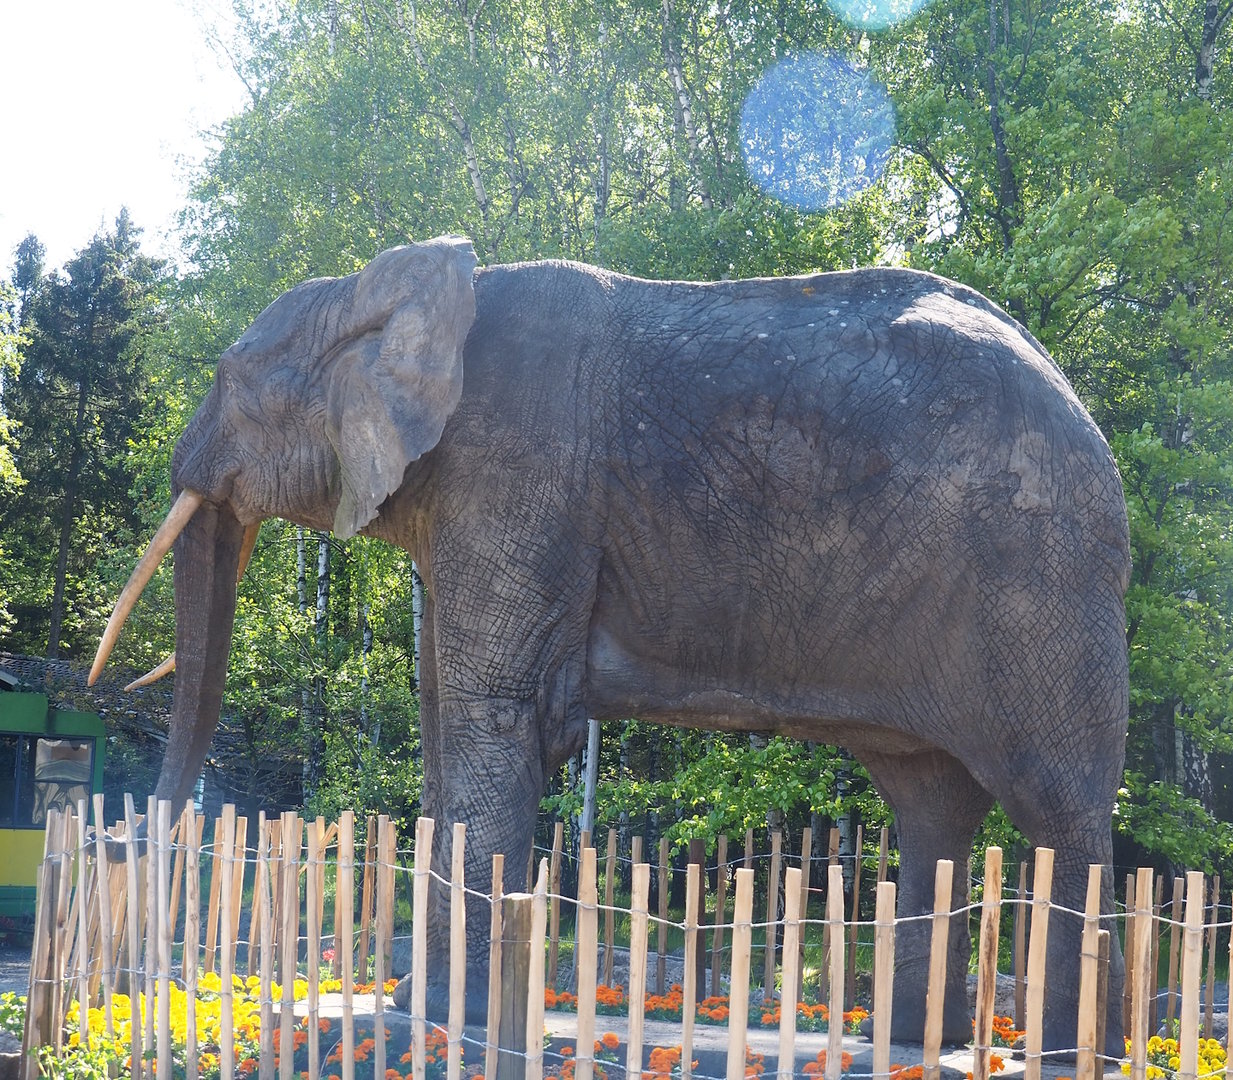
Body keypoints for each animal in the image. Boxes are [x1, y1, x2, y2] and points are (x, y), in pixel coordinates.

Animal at [93, 235, 1130, 1054]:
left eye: (228, 377)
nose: (160, 981)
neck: (390, 286)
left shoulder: (516, 472)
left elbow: (491, 715)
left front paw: (453, 1020)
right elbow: (446, 723)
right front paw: (417, 1008)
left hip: (1041, 582)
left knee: (1058, 808)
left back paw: (1065, 1053)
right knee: (931, 804)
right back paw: (914, 1043)